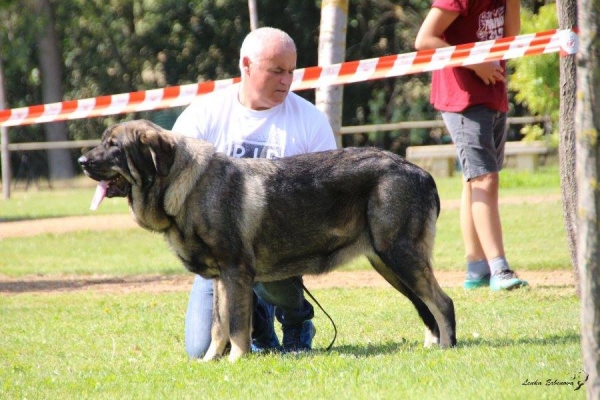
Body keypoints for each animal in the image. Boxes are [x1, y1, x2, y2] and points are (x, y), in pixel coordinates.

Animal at [78, 120, 454, 360]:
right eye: (103, 142)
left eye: (114, 147)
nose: (82, 161)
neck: (184, 187)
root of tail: (421, 172)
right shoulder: (222, 279)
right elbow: (219, 326)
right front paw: (211, 361)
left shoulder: (236, 272)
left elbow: (236, 325)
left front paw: (236, 360)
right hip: (388, 263)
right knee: (425, 305)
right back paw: (433, 344)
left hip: (400, 255)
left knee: (442, 302)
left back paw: (447, 347)